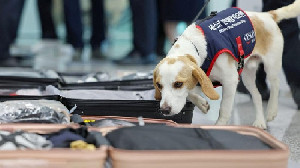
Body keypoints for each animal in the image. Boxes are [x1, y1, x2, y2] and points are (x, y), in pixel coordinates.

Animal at [154, 0, 300, 129]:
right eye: (159, 85)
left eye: (178, 84)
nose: (164, 110)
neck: (194, 44)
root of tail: (266, 15)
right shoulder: (202, 79)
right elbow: (190, 93)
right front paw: (202, 104)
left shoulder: (230, 80)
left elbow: (224, 108)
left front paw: (220, 126)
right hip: (247, 76)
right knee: (257, 96)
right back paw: (260, 122)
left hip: (271, 66)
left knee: (275, 85)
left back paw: (271, 111)